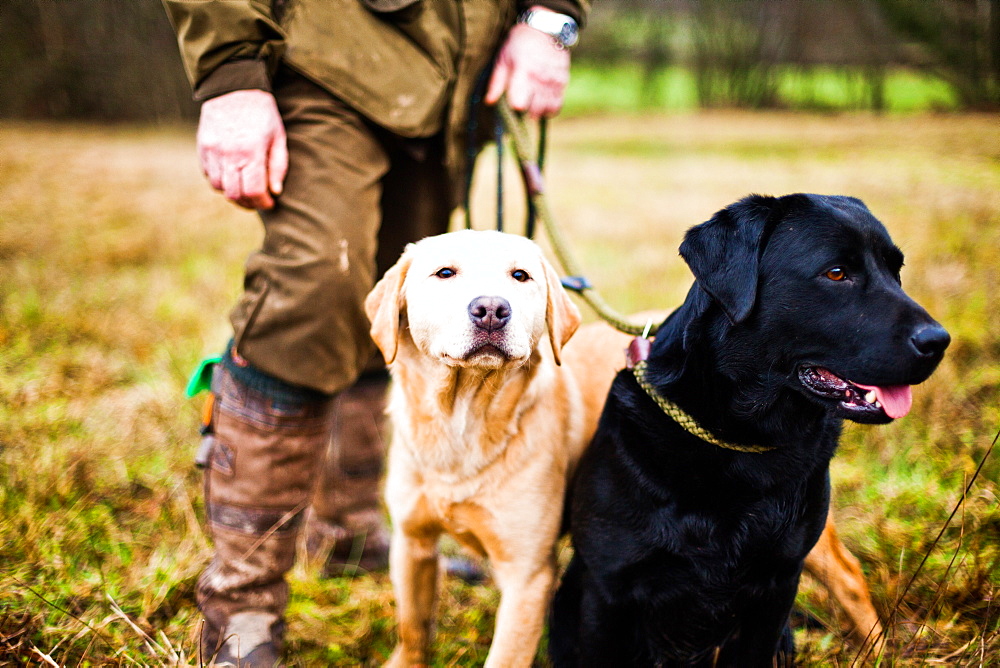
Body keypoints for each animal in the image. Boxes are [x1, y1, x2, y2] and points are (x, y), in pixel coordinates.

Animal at [552, 194, 948, 668]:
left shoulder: (776, 586)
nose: (939, 341)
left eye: (896, 271)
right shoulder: (607, 588)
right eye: (836, 273)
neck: (736, 442)